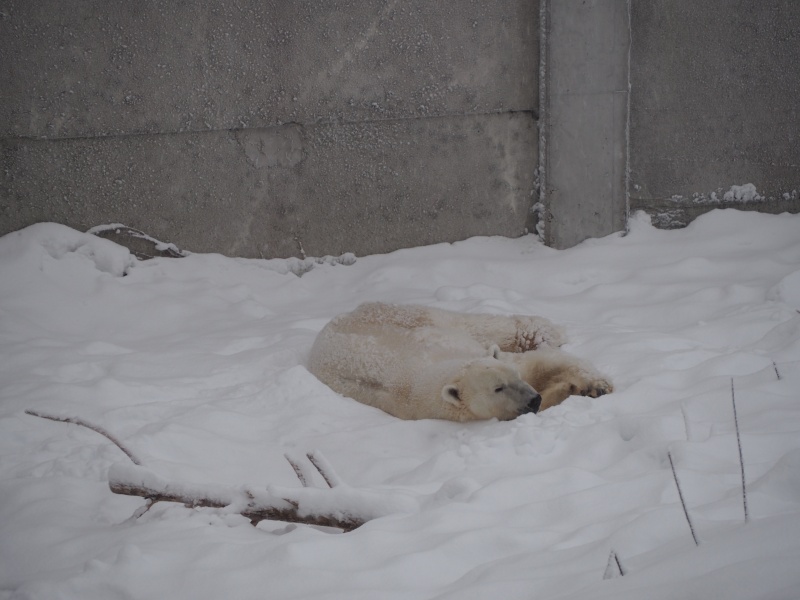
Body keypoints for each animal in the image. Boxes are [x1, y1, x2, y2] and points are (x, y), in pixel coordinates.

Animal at [308, 300, 612, 422]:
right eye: (497, 389)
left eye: (513, 378)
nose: (531, 399)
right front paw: (569, 390)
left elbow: (539, 362)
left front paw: (597, 385)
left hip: (408, 317)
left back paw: (542, 331)